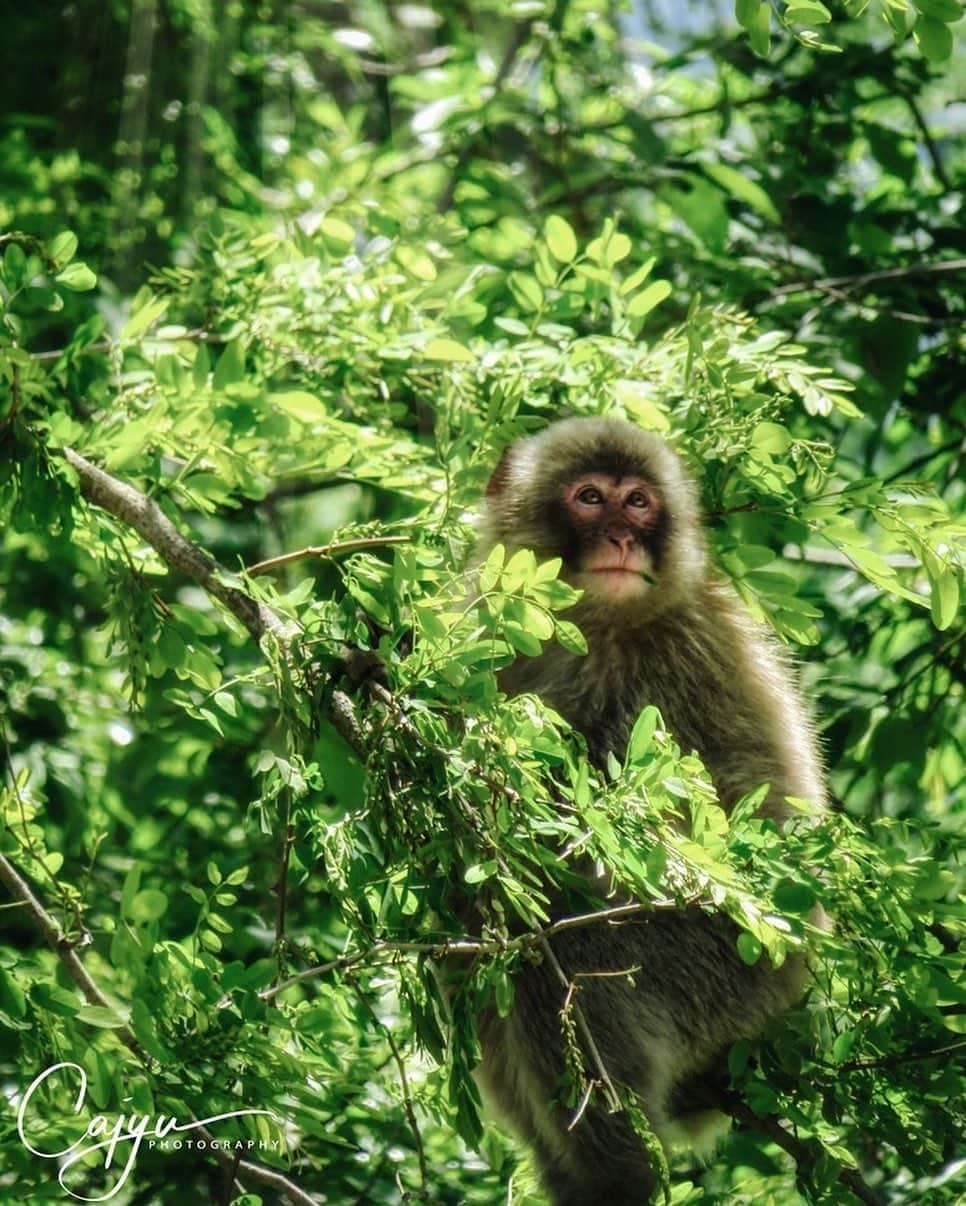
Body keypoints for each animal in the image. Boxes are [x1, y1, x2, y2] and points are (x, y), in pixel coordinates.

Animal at [470, 417, 824, 1206]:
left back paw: (618, 1172)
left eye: (638, 502)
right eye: (589, 497)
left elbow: (735, 807)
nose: (622, 538)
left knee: (567, 951)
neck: (592, 624)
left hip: (732, 977)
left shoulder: (687, 650)